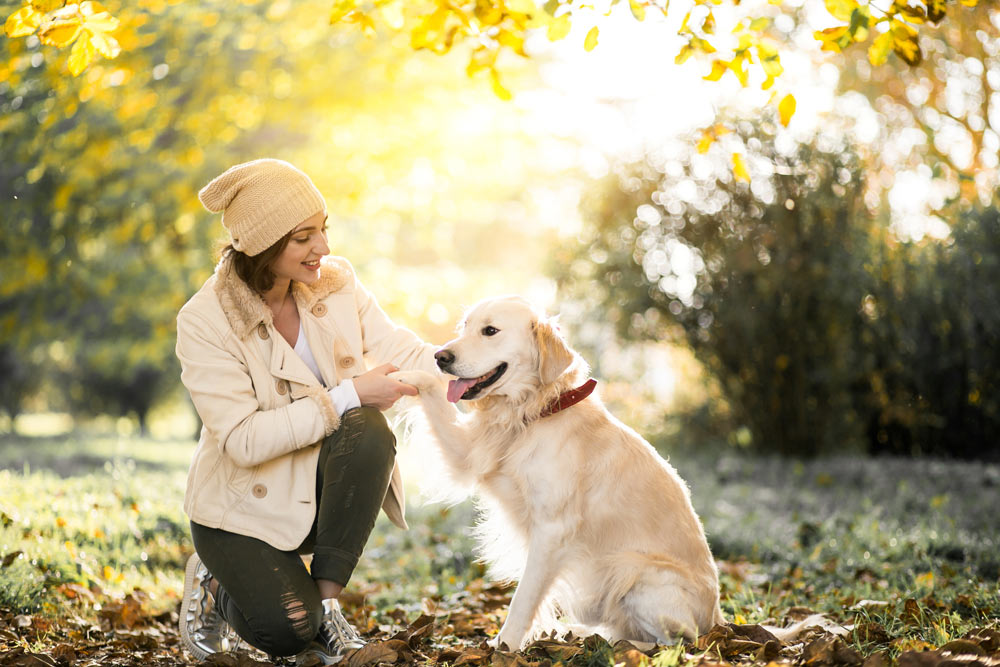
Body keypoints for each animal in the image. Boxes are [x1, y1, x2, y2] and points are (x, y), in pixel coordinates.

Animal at [386, 298, 724, 652]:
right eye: (465, 327)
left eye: (490, 331)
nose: (441, 357)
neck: (535, 412)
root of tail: (717, 621)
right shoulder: (468, 453)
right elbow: (432, 394)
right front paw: (398, 375)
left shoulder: (552, 529)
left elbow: (523, 598)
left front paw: (504, 646)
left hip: (632, 569)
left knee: (677, 642)